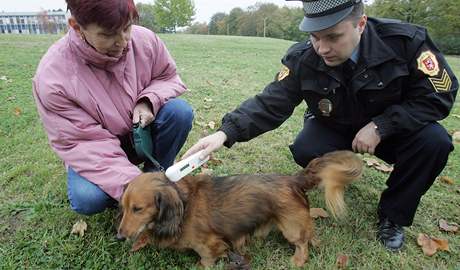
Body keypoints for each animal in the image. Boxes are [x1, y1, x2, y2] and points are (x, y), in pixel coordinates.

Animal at [117, 151, 362, 266]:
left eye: (138, 209)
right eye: (124, 207)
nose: (119, 237)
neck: (184, 206)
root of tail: (293, 179)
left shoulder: (209, 246)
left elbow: (206, 260)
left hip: (291, 227)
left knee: (302, 243)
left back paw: (298, 261)